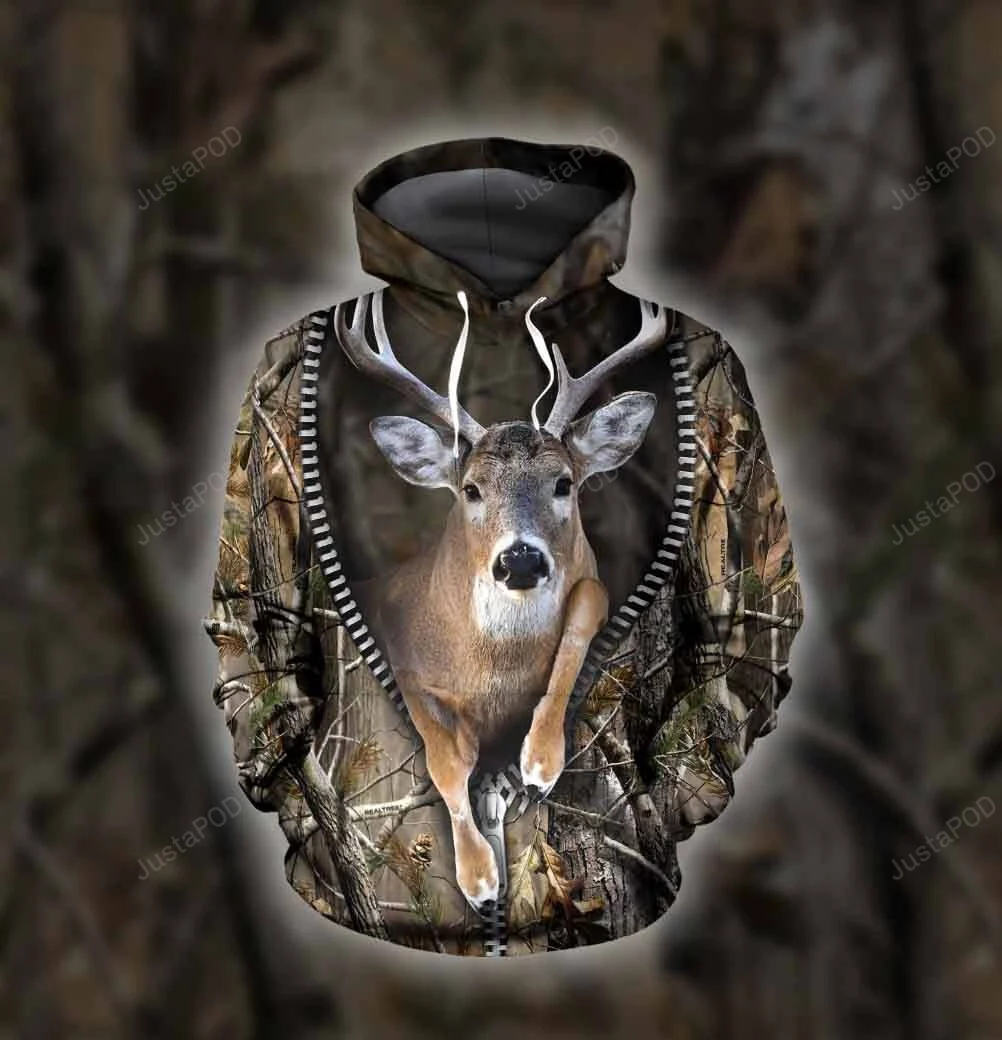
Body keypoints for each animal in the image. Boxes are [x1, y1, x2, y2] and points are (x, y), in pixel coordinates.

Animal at [334, 289, 669, 912]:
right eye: (471, 489)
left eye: (564, 482)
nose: (520, 560)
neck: (491, 675)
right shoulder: (408, 670)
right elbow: (447, 762)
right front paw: (480, 878)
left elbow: (589, 601)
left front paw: (539, 763)